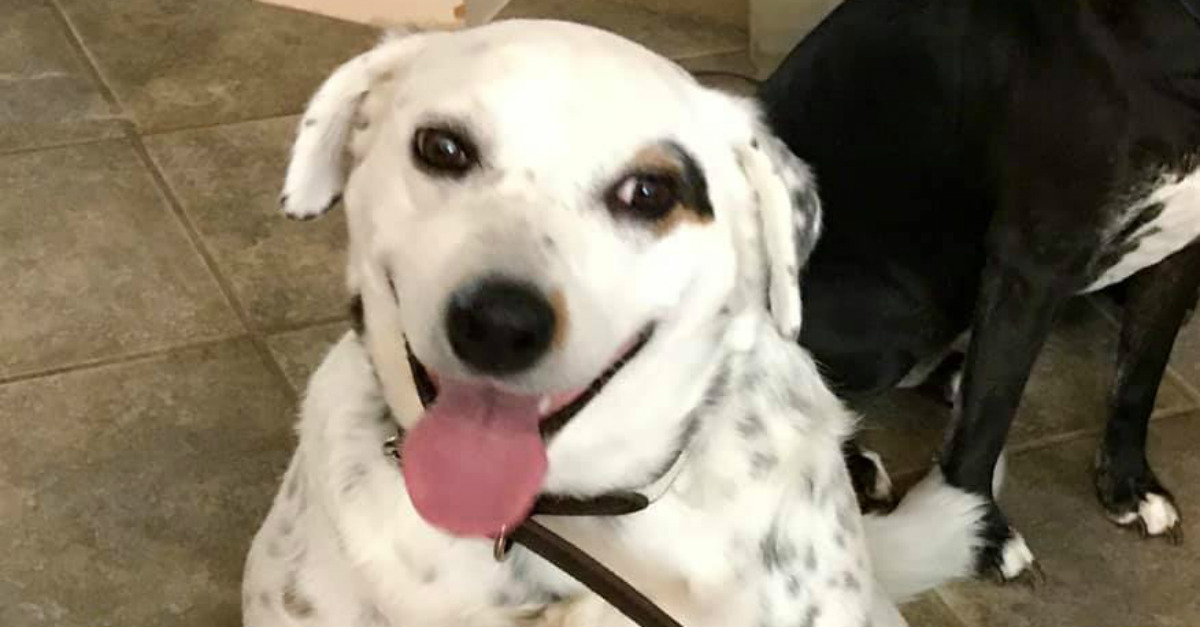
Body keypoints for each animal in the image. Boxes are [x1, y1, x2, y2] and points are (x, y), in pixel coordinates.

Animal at [760, 0, 1200, 579]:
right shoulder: (1031, 265)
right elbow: (987, 419)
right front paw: (977, 533)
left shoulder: (1179, 254)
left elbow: (1139, 380)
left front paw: (1129, 485)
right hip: (899, 312)